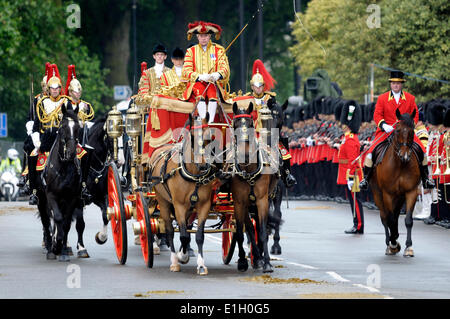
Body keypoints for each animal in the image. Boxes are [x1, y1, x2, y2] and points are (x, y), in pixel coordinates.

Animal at [42, 105, 82, 262]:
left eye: (77, 128)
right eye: (63, 127)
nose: (71, 153)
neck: (63, 167)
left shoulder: (72, 198)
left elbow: (65, 224)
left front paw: (63, 250)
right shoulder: (51, 195)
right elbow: (57, 218)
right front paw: (56, 246)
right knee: (48, 222)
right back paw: (50, 247)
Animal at [148, 112, 218, 276]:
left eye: (209, 137)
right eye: (191, 136)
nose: (204, 165)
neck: (194, 175)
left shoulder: (204, 205)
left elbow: (198, 235)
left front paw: (200, 264)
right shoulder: (178, 205)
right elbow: (184, 235)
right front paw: (181, 257)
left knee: (183, 227)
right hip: (163, 202)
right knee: (169, 230)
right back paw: (174, 260)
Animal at [232, 102, 278, 272]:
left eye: (251, 125)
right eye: (235, 125)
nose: (244, 155)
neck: (249, 169)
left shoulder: (262, 200)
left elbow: (263, 231)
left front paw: (267, 263)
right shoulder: (239, 202)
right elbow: (241, 231)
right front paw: (242, 261)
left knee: (258, 226)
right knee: (250, 229)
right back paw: (256, 257)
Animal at [370, 109, 420, 258]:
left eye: (412, 130)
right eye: (397, 130)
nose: (405, 156)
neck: (400, 165)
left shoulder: (411, 192)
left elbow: (408, 220)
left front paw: (408, 247)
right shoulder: (387, 194)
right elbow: (390, 219)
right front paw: (393, 243)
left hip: (399, 197)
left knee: (396, 215)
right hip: (378, 194)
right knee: (385, 217)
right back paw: (389, 242)